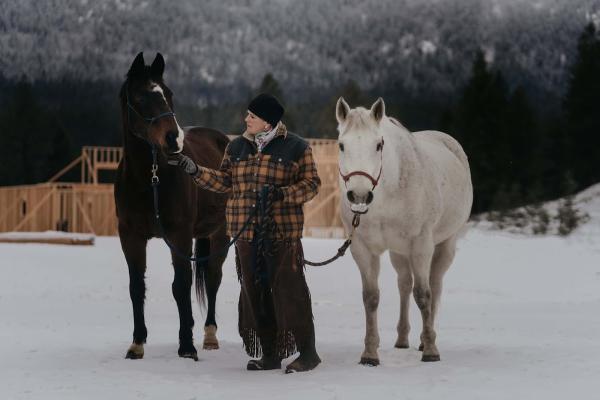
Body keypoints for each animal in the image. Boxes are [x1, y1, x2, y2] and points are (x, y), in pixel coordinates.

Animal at [115, 51, 230, 360]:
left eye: (168, 94)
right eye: (140, 97)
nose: (173, 138)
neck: (149, 180)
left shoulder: (179, 235)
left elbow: (180, 286)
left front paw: (187, 345)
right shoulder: (130, 236)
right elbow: (135, 286)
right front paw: (137, 344)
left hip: (220, 234)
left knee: (212, 278)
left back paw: (209, 336)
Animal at [336, 97, 472, 366]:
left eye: (379, 145)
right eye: (341, 145)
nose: (359, 195)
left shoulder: (421, 246)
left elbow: (423, 294)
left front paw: (431, 350)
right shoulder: (363, 249)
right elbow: (371, 297)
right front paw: (370, 353)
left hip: (444, 245)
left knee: (434, 284)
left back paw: (423, 340)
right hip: (398, 252)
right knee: (404, 284)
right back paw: (402, 338)